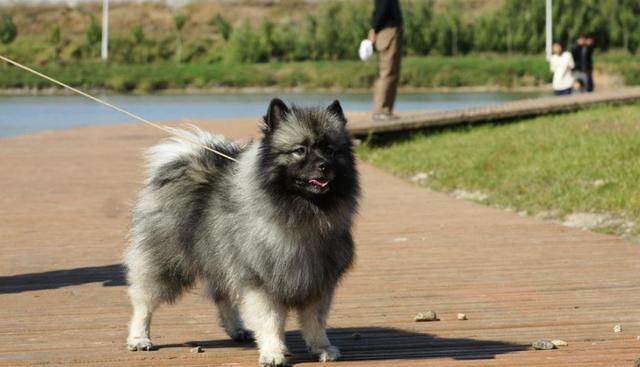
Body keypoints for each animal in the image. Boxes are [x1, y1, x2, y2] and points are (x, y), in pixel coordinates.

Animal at [125, 98, 360, 367]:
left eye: (330, 150)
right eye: (300, 150)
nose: (324, 166)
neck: (302, 213)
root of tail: (187, 158)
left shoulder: (318, 280)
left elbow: (315, 321)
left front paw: (321, 347)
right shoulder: (261, 280)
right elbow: (271, 321)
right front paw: (273, 353)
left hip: (219, 259)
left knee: (223, 298)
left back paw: (236, 329)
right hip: (167, 262)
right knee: (144, 301)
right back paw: (139, 338)